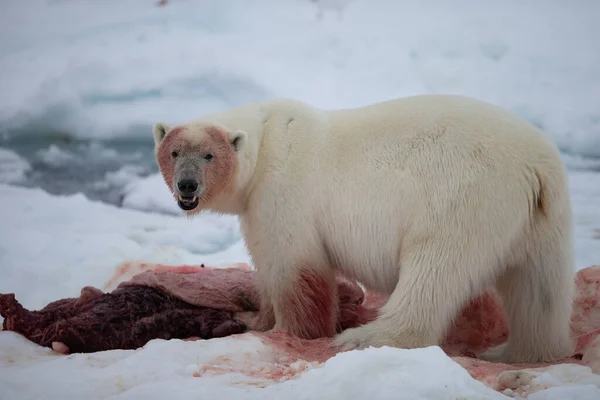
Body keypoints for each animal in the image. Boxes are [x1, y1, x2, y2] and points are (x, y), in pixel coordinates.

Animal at [152, 95, 576, 364]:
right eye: (174, 152)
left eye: (209, 155)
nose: (187, 186)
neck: (269, 137)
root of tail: (535, 167)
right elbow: (270, 268)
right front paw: (256, 317)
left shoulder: (282, 191)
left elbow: (294, 269)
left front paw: (284, 332)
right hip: (543, 218)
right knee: (539, 288)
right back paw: (517, 352)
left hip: (462, 197)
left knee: (435, 269)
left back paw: (365, 338)